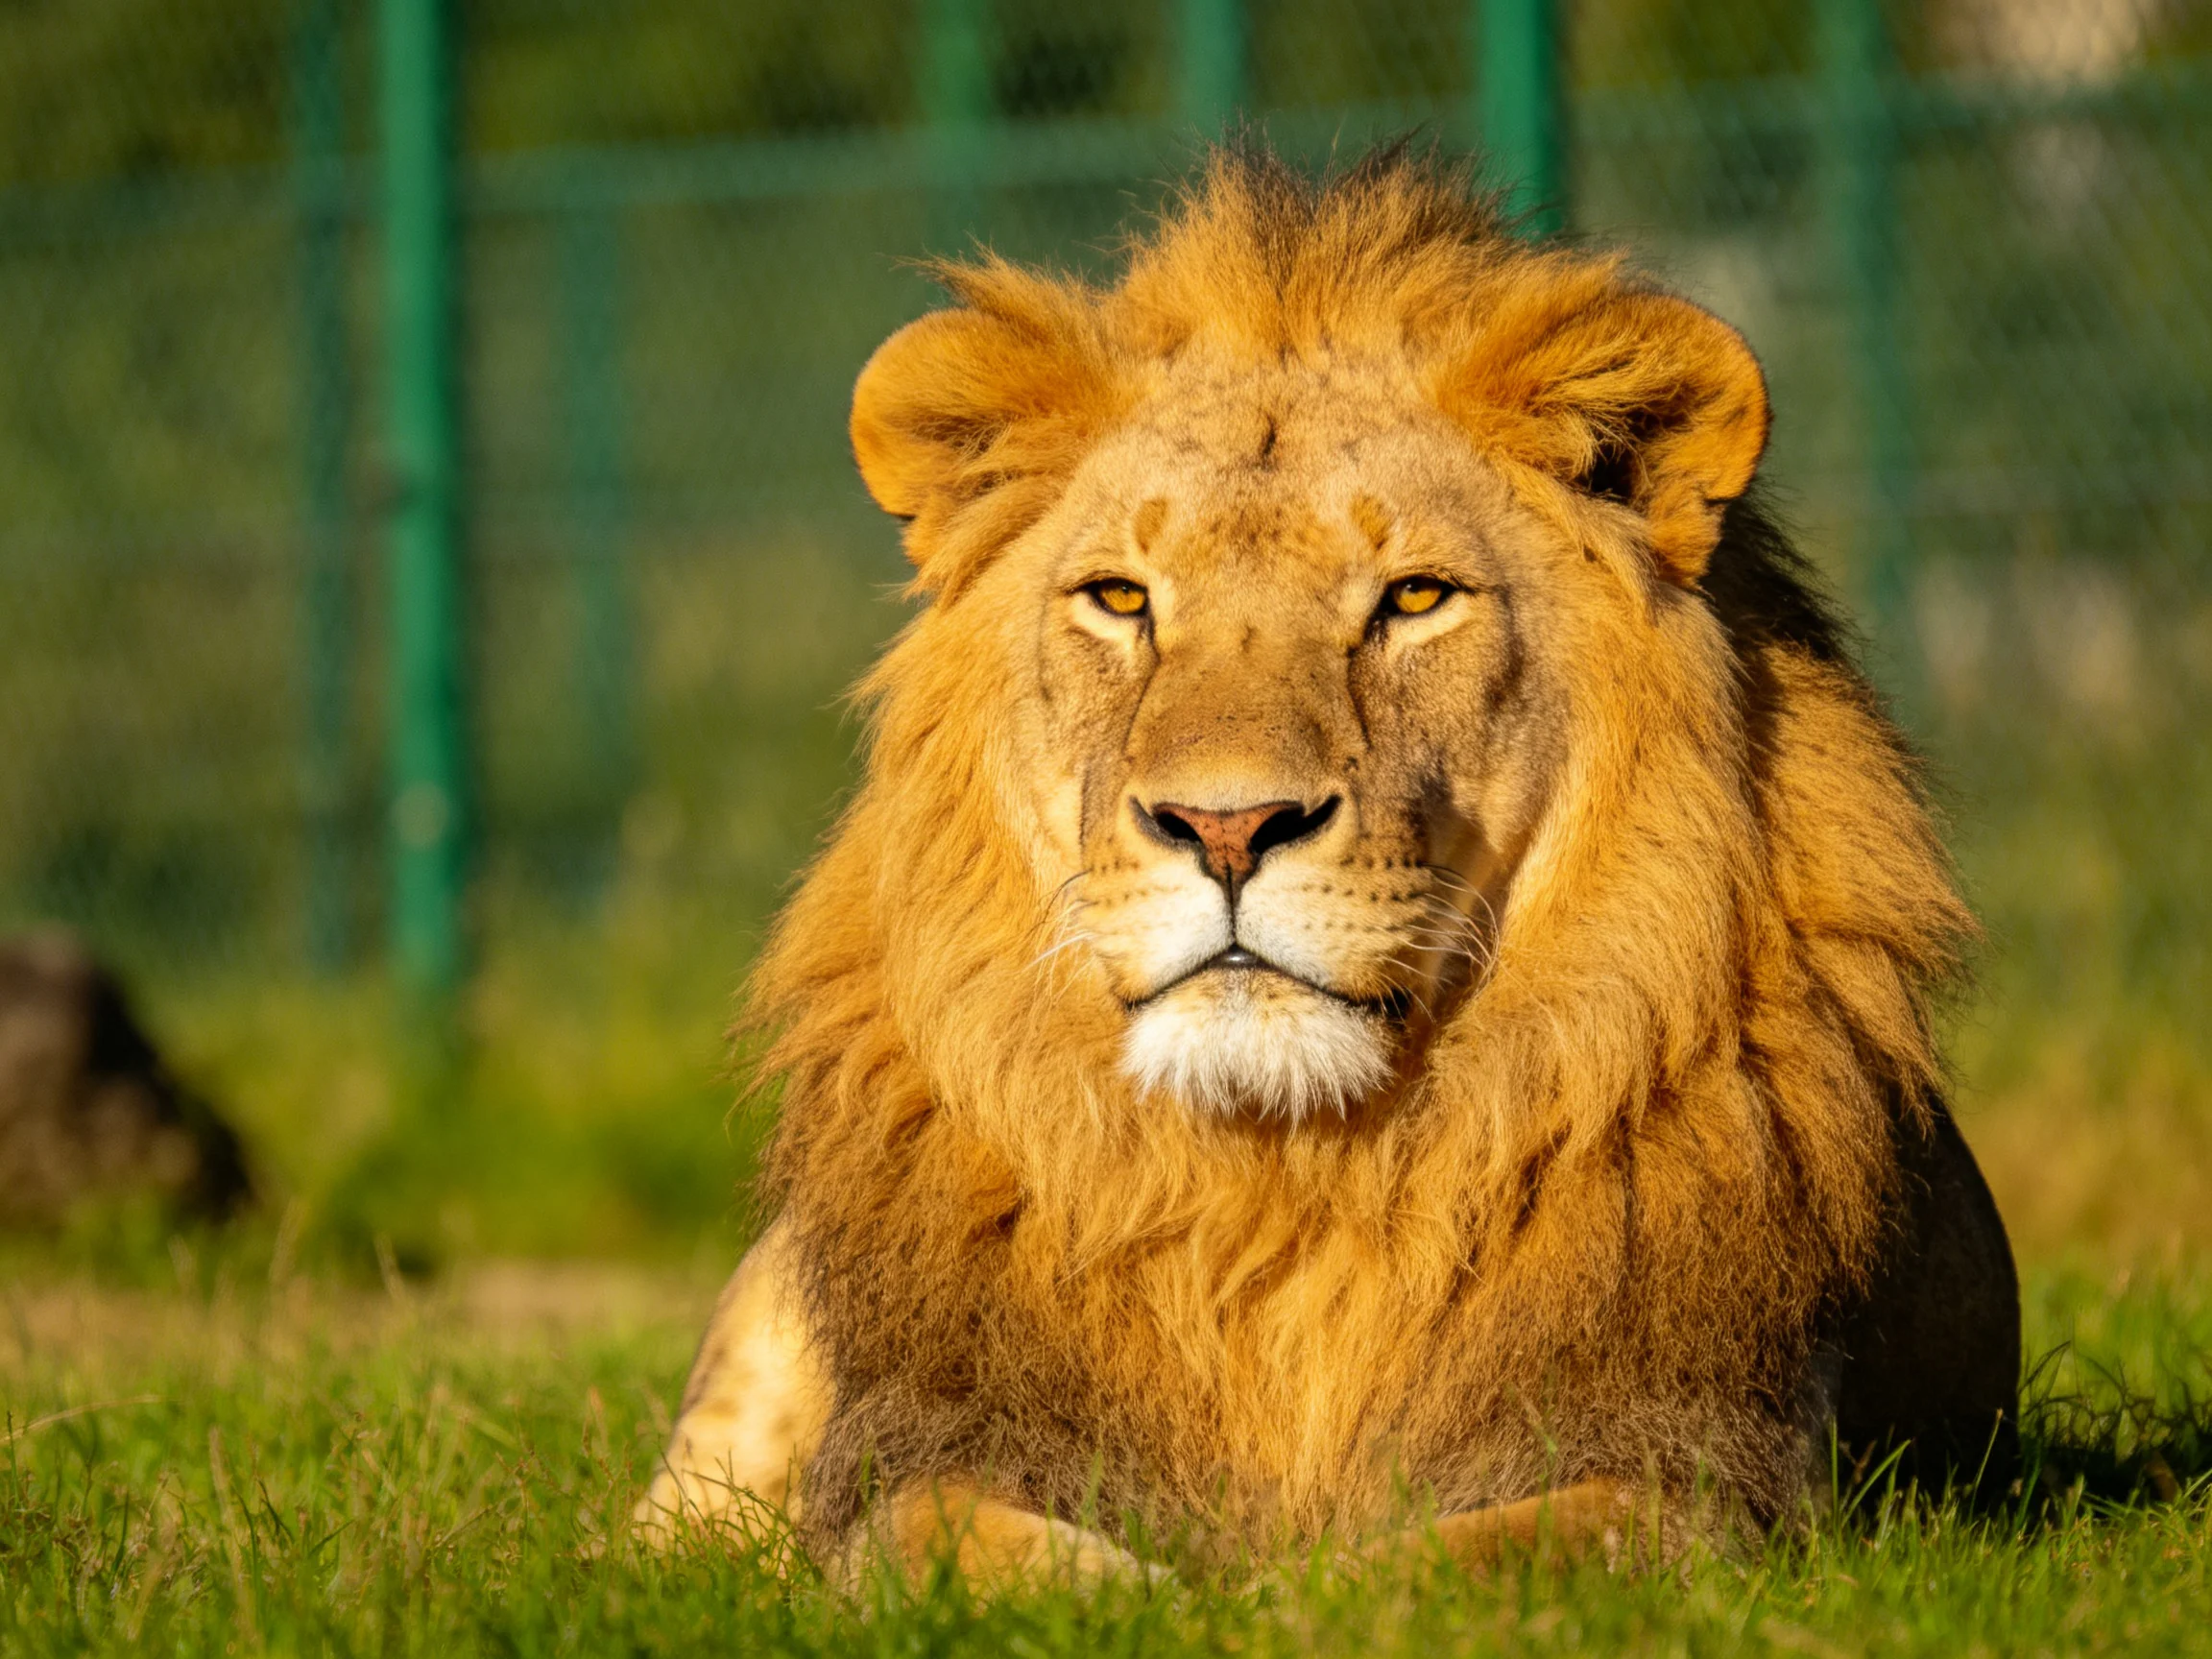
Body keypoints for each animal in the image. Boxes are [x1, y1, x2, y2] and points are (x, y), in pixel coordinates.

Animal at [638, 143, 2019, 1585]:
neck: (1284, 1176)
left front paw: (1279, 1598)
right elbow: (982, 1547)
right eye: (1121, 599)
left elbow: (1432, 1567)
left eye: (1415, 598)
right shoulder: (912, 1452)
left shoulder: (1702, 1466)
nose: (1228, 827)